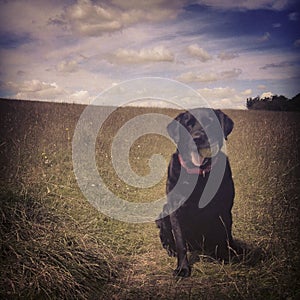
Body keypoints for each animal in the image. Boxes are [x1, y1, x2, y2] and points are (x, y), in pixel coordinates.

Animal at [156, 108, 236, 276]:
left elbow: (226, 235)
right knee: (166, 236)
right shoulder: (176, 210)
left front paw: (227, 256)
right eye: (188, 124)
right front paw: (182, 268)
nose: (197, 138)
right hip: (164, 211)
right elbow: (180, 242)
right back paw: (170, 249)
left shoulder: (225, 210)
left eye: (209, 122)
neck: (199, 174)